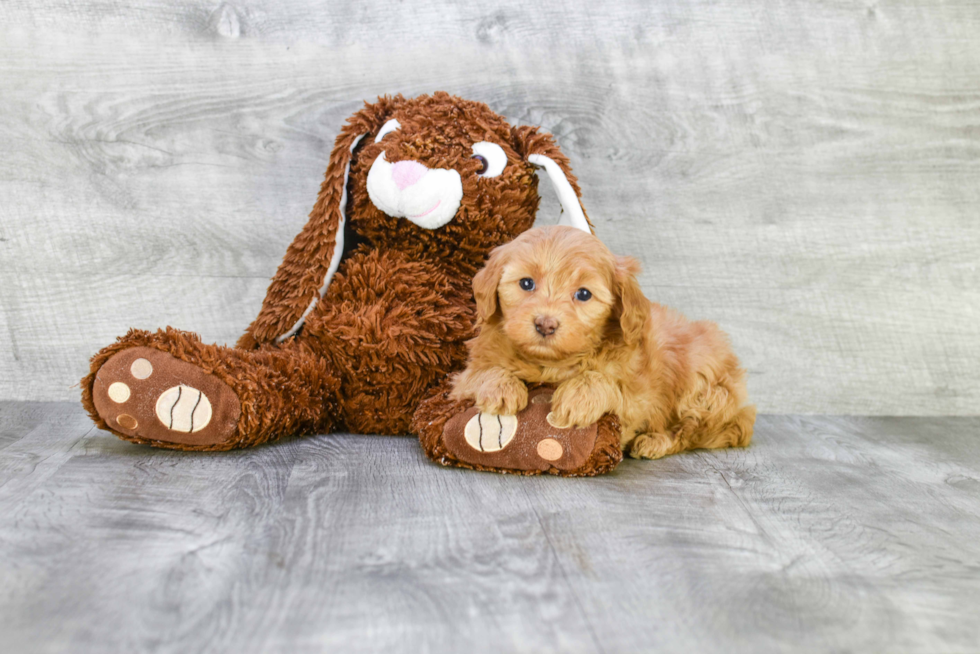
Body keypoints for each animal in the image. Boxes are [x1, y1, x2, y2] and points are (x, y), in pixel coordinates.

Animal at [452, 226, 756, 462]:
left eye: (584, 294)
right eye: (526, 283)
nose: (545, 324)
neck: (552, 364)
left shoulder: (638, 399)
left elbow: (608, 383)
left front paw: (577, 396)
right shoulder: (460, 378)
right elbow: (480, 372)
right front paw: (501, 388)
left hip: (703, 386)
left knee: (692, 431)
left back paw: (655, 442)